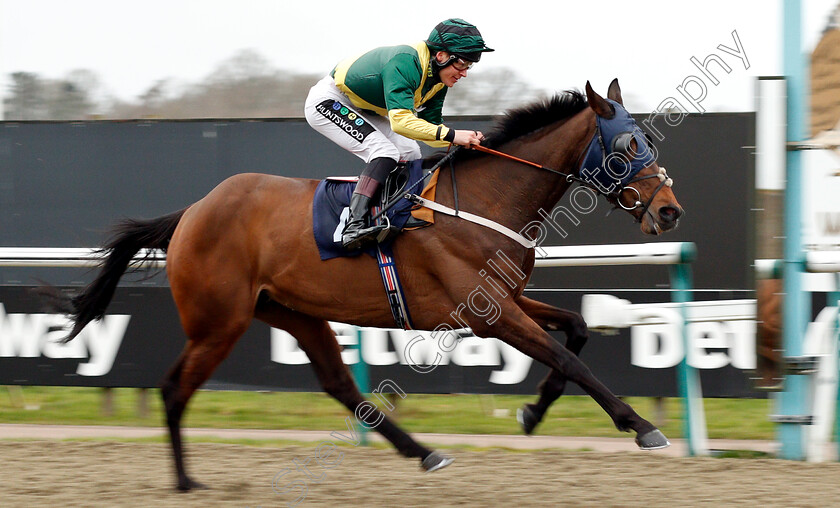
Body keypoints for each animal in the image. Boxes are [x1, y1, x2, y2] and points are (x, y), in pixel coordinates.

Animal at [42, 80, 684, 492]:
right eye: (628, 146)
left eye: (651, 142)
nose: (670, 212)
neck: (484, 200)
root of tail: (192, 212)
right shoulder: (487, 314)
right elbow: (568, 358)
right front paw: (641, 427)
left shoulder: (505, 299)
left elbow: (576, 330)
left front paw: (531, 411)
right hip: (217, 321)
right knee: (176, 388)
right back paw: (182, 480)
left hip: (292, 311)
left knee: (338, 384)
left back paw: (425, 454)